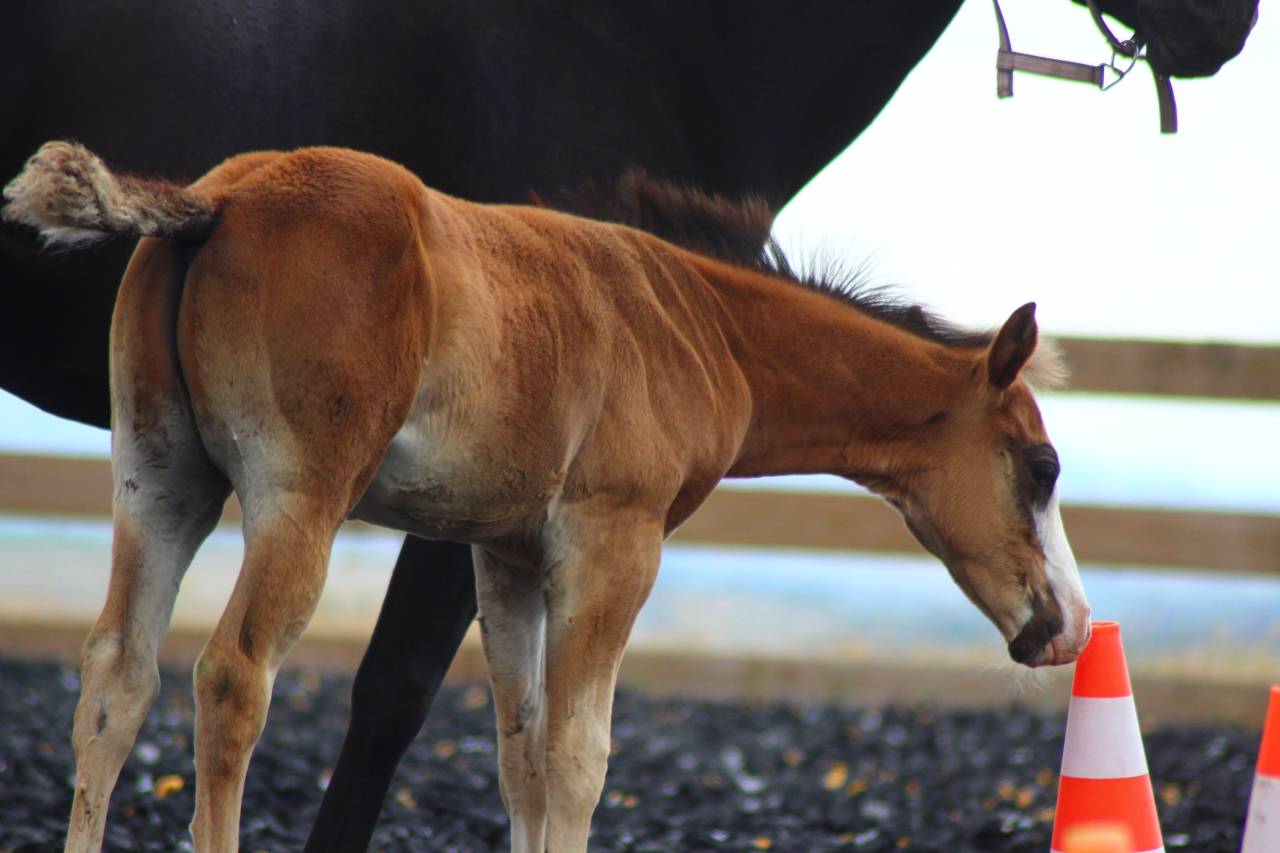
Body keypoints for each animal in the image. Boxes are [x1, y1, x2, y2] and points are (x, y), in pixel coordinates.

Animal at [0, 1, 1250, 847]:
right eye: (1038, 464)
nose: (1065, 626)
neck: (687, 321)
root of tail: (213, 201)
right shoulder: (612, 543)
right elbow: (575, 752)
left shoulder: (500, 552)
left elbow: (515, 744)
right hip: (294, 499)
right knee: (231, 678)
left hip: (161, 479)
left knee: (118, 672)